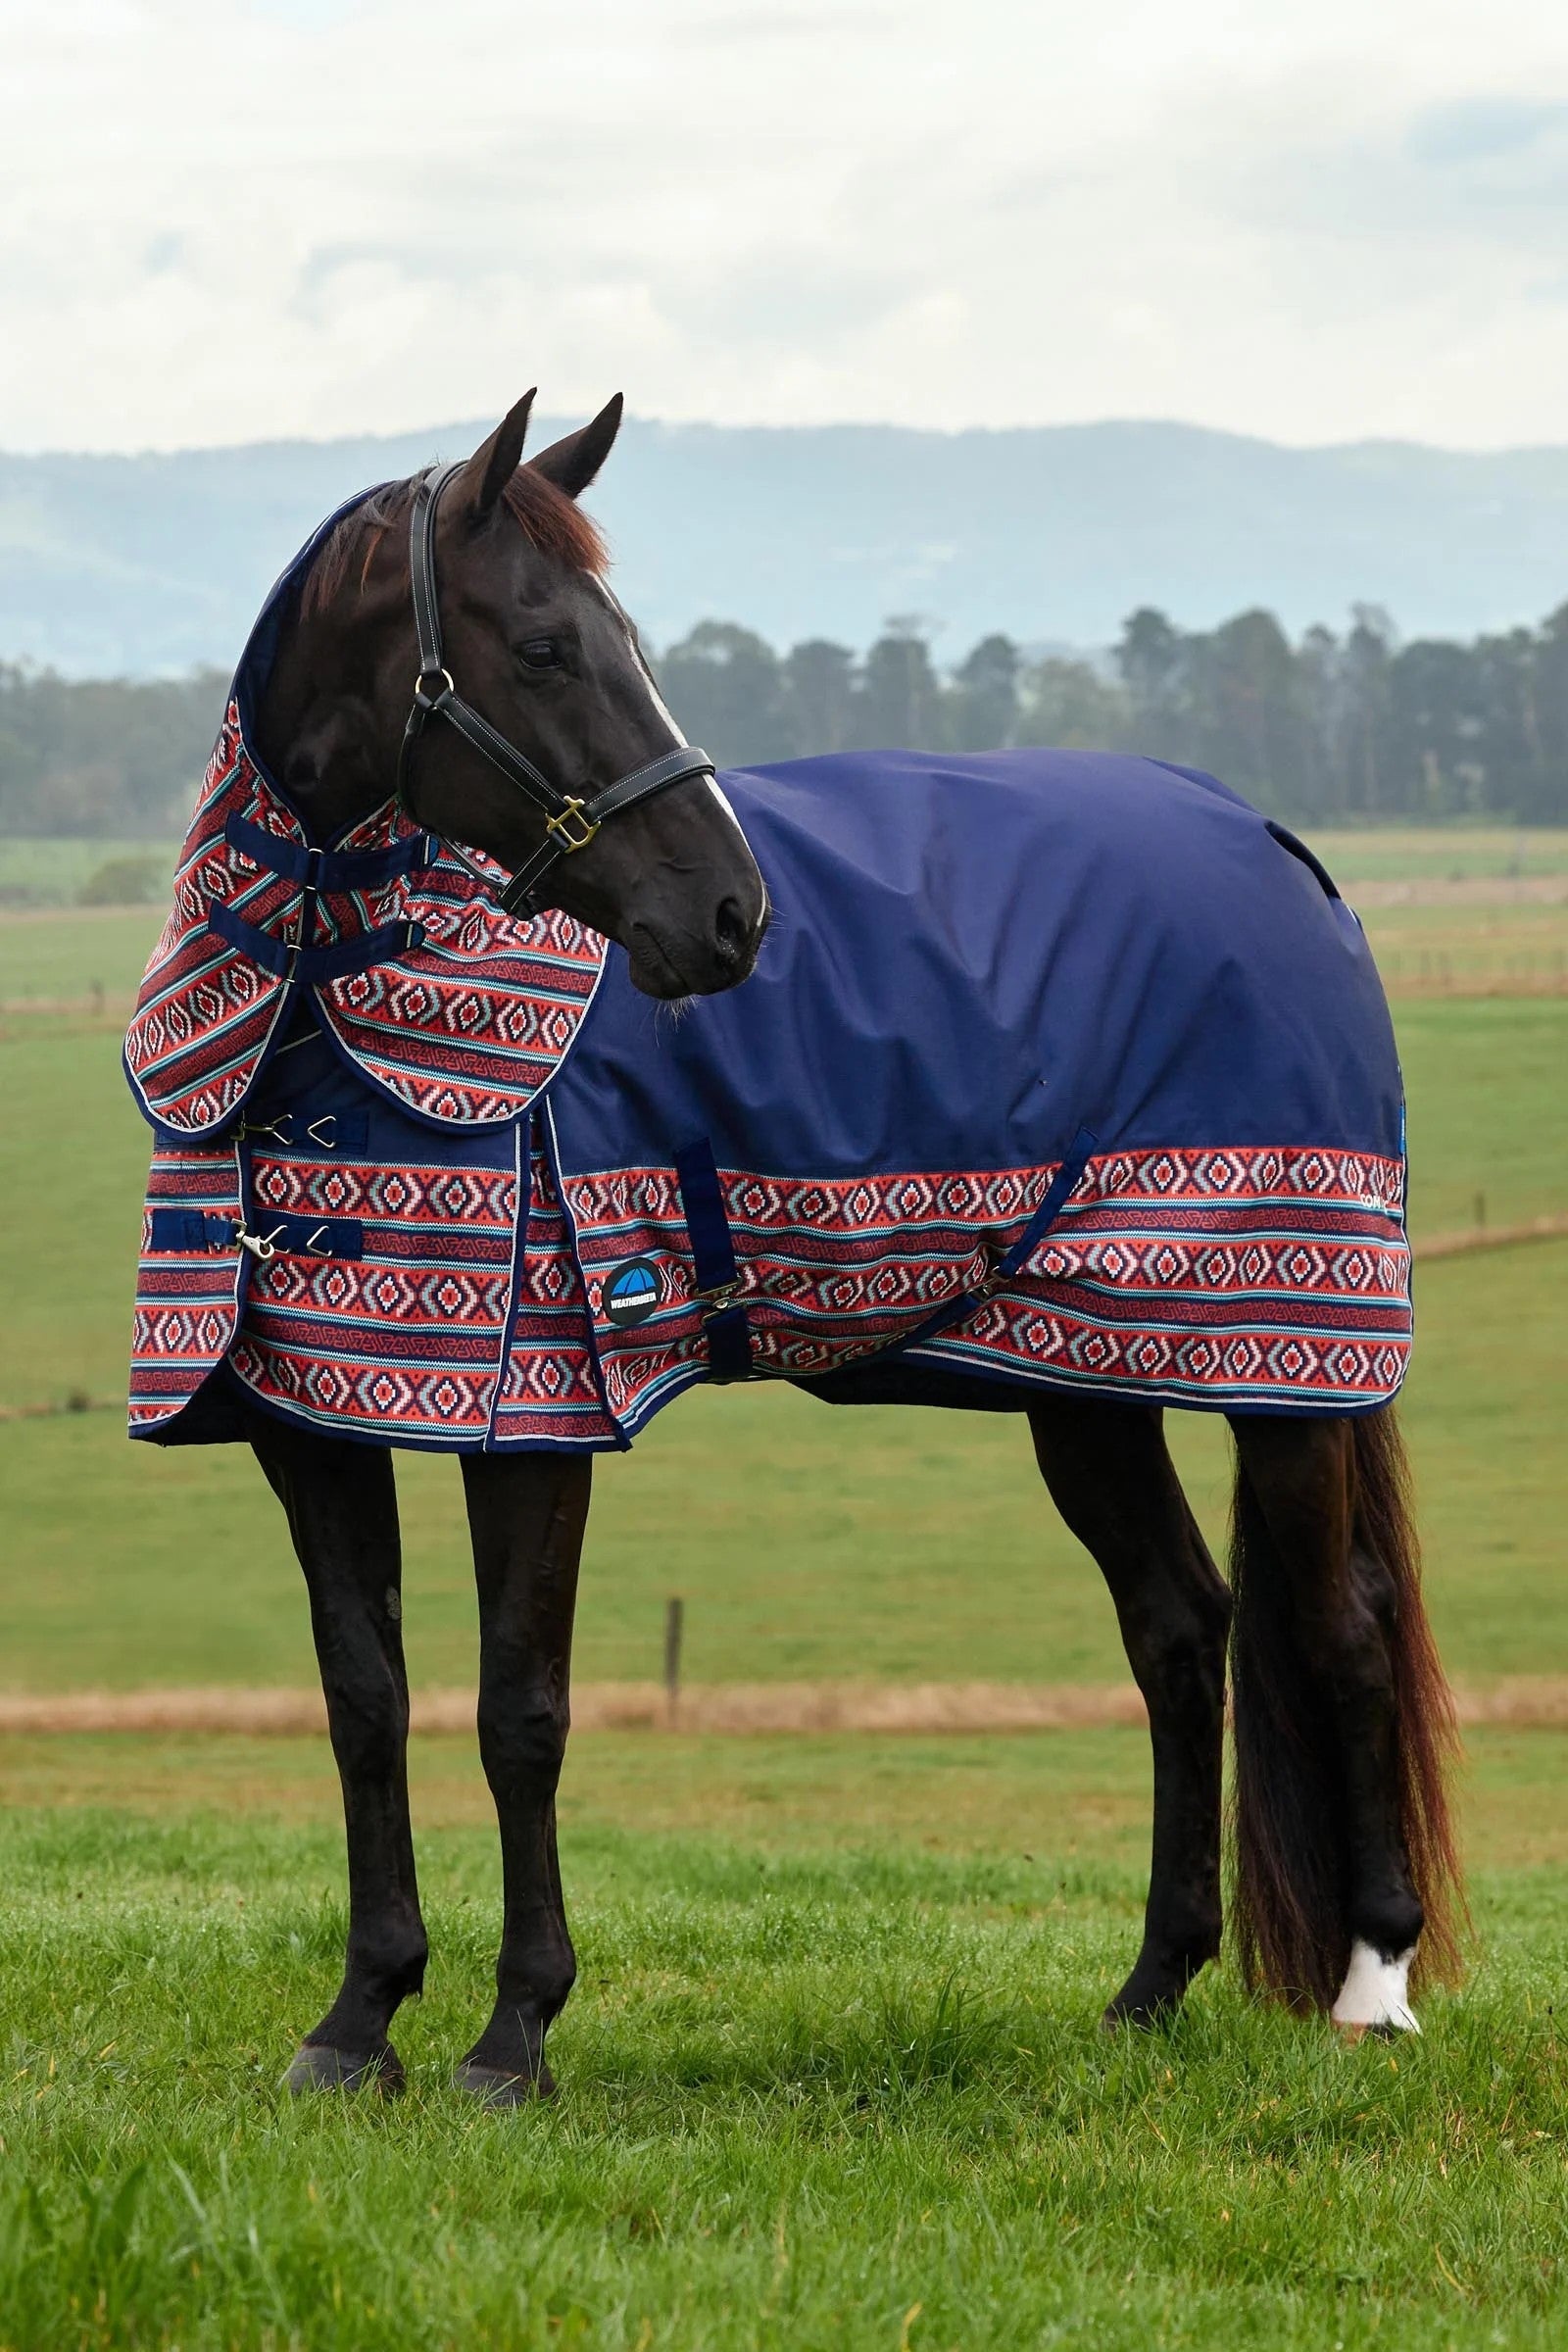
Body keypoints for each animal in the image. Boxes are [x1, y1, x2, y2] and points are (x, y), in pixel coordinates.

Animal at [123, 390, 1462, 2103]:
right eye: (546, 647)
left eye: (622, 643)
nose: (730, 916)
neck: (319, 1022)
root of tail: (1282, 844)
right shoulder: (308, 1419)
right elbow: (367, 1700)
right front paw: (359, 2023)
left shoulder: (532, 1406)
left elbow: (519, 1708)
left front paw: (514, 2032)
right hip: (1086, 1382)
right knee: (1180, 1628)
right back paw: (1151, 1988)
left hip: (1283, 1366)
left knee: (1343, 1626)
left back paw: (1374, 1989)